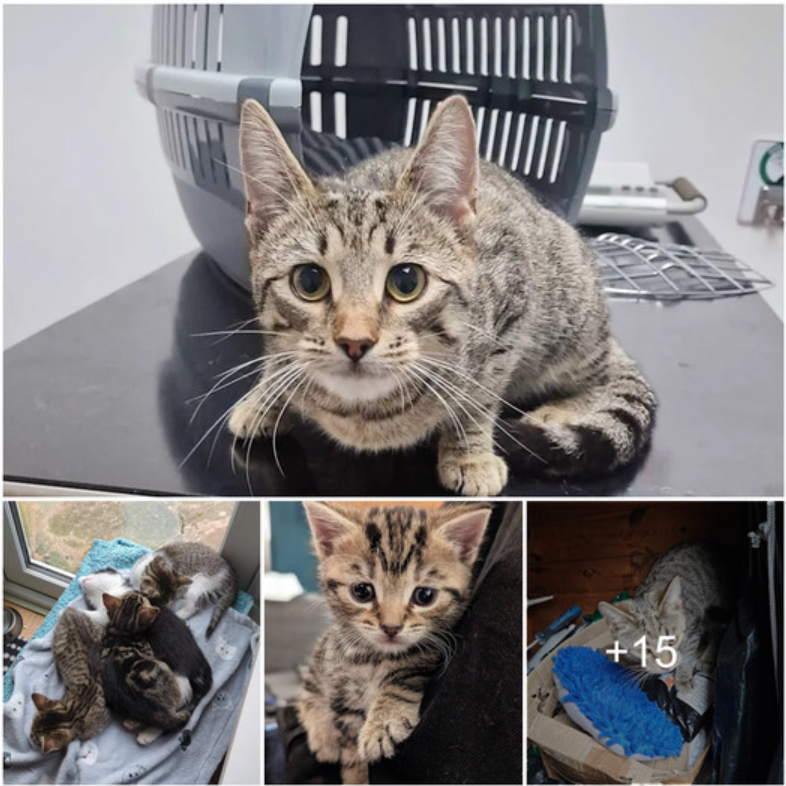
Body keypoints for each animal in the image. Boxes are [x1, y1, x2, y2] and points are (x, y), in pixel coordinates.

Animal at [228, 93, 656, 496]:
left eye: (406, 281)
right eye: (309, 281)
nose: (354, 341)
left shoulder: (512, 305)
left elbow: (479, 395)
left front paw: (470, 453)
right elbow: (277, 358)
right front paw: (265, 398)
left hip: (568, 319)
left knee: (600, 376)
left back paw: (557, 410)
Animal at [294, 500, 490, 780]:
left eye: (425, 595)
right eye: (362, 591)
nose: (391, 627)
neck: (373, 657)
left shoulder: (428, 654)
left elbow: (404, 677)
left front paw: (382, 724)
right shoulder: (343, 695)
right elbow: (352, 755)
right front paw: (356, 775)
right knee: (308, 688)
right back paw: (323, 736)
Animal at [596, 544, 732, 688]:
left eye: (672, 641)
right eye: (645, 650)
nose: (666, 667)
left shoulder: (693, 630)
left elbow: (687, 654)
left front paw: (683, 677)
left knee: (718, 632)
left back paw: (707, 659)